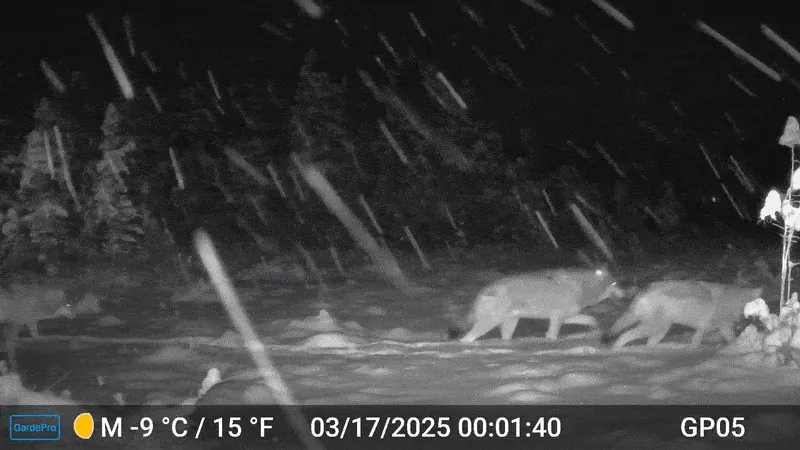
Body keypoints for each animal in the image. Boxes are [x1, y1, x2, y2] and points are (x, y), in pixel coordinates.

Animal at [458, 266, 618, 343]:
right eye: (615, 284)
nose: (623, 294)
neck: (583, 288)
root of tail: (484, 290)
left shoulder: (566, 317)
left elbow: (592, 320)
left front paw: (595, 331)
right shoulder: (557, 318)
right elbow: (551, 335)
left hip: (510, 323)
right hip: (491, 322)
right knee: (466, 338)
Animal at [604, 280, 763, 349]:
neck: (733, 302)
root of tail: (643, 291)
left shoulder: (703, 329)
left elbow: (695, 342)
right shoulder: (723, 328)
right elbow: (732, 340)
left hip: (661, 330)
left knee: (648, 343)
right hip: (652, 328)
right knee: (623, 336)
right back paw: (615, 350)